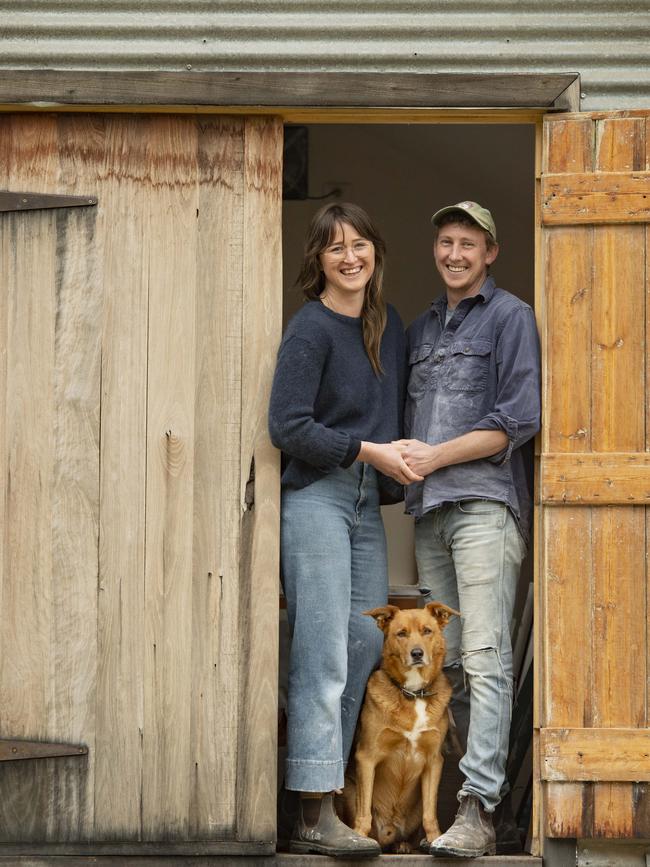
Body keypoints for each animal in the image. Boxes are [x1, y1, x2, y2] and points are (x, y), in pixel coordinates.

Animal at [340, 604, 456, 856]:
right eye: (401, 633)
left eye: (427, 631)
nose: (417, 653)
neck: (413, 694)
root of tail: (389, 831)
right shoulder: (367, 757)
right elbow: (364, 812)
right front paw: (358, 838)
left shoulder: (434, 761)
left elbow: (430, 814)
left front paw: (436, 839)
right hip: (349, 790)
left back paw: (404, 845)